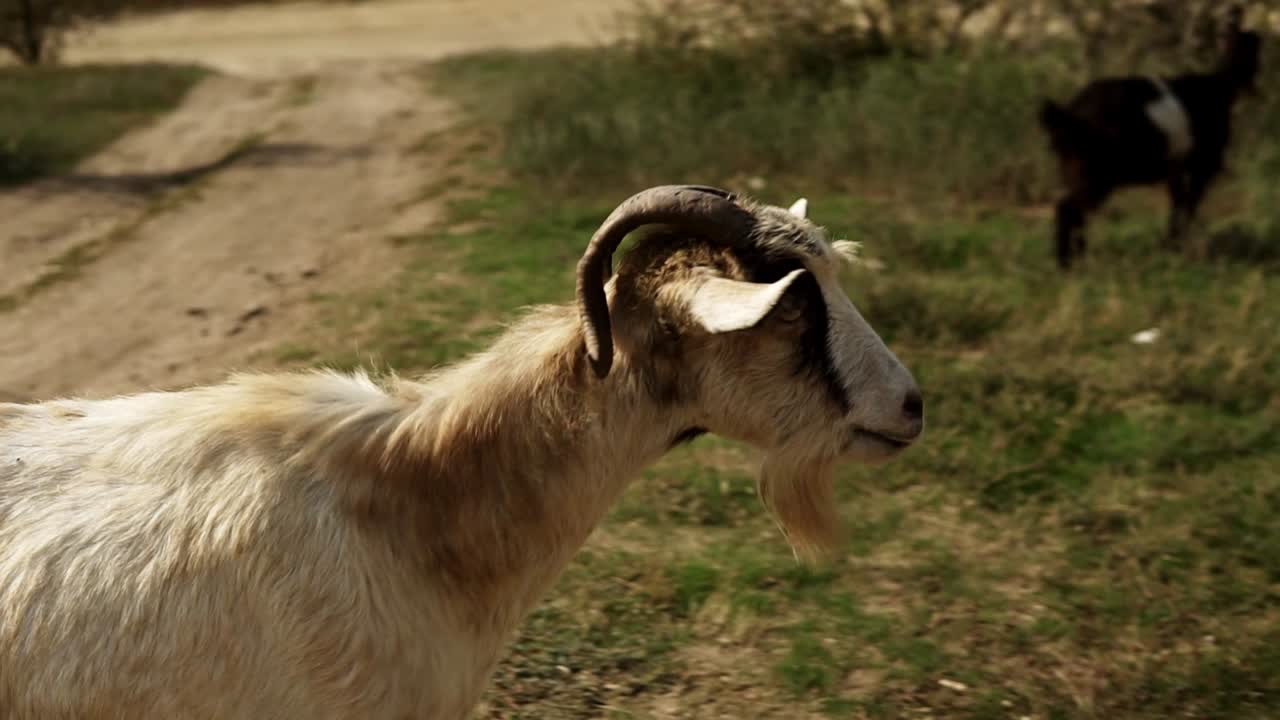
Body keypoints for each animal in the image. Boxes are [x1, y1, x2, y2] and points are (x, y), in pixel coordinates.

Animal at [1039, 8, 1261, 269]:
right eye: (1251, 46)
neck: (1219, 86)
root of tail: (1071, 115)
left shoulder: (1176, 167)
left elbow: (1178, 205)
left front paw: (1171, 246)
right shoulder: (1202, 164)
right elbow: (1188, 205)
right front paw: (1177, 248)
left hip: (1074, 168)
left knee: (1071, 208)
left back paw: (1075, 258)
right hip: (1098, 172)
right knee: (1069, 208)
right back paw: (1067, 264)